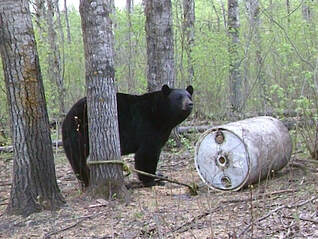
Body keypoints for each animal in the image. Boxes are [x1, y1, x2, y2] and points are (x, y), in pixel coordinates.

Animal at [60, 85, 193, 188]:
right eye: (179, 97)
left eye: (189, 96)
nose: (190, 104)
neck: (161, 116)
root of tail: (65, 119)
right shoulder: (147, 126)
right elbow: (146, 154)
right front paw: (151, 180)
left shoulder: (162, 132)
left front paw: (159, 175)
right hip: (79, 132)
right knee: (78, 157)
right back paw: (87, 179)